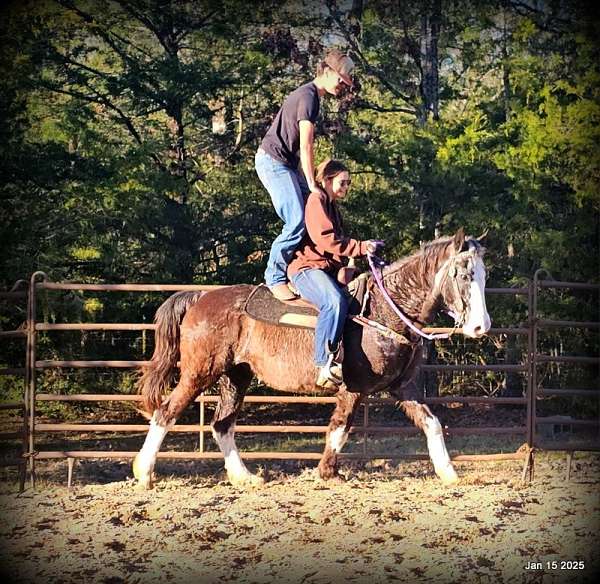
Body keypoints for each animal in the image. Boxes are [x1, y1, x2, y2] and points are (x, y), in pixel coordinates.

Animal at [134, 228, 490, 488]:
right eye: (463, 276)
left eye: (484, 276)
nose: (480, 326)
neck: (384, 311)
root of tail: (201, 297)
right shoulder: (353, 388)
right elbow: (340, 428)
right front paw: (327, 472)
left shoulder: (404, 387)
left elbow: (432, 423)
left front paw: (449, 474)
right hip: (200, 372)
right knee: (166, 412)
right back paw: (144, 473)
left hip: (237, 375)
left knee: (222, 424)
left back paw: (244, 477)